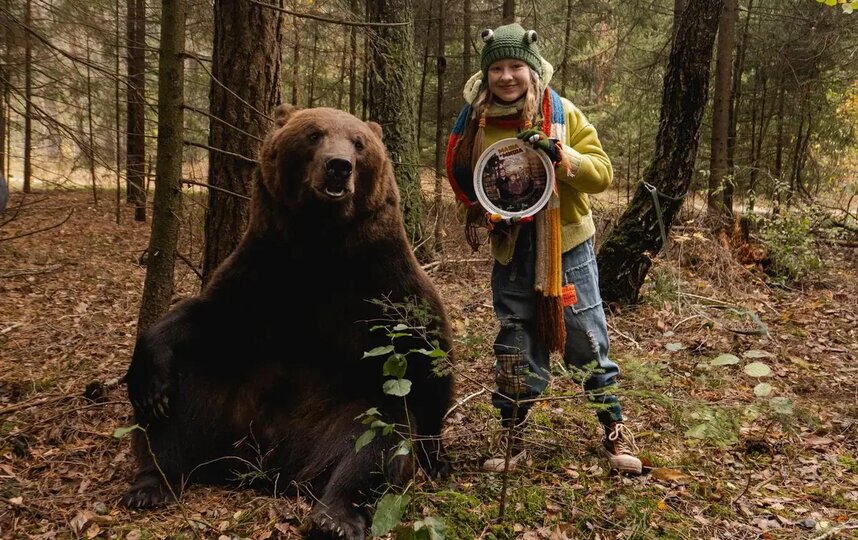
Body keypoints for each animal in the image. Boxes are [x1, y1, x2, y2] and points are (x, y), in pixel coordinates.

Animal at [123, 106, 454, 540]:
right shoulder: (267, 266)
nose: (338, 167)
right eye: (314, 134)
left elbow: (426, 352)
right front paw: (148, 374)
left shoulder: (382, 278)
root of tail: (270, 458)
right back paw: (151, 481)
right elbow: (211, 314)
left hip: (337, 418)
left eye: (359, 143)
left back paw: (336, 517)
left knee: (379, 432)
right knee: (178, 400)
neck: (319, 242)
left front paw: (437, 456)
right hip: (223, 404)